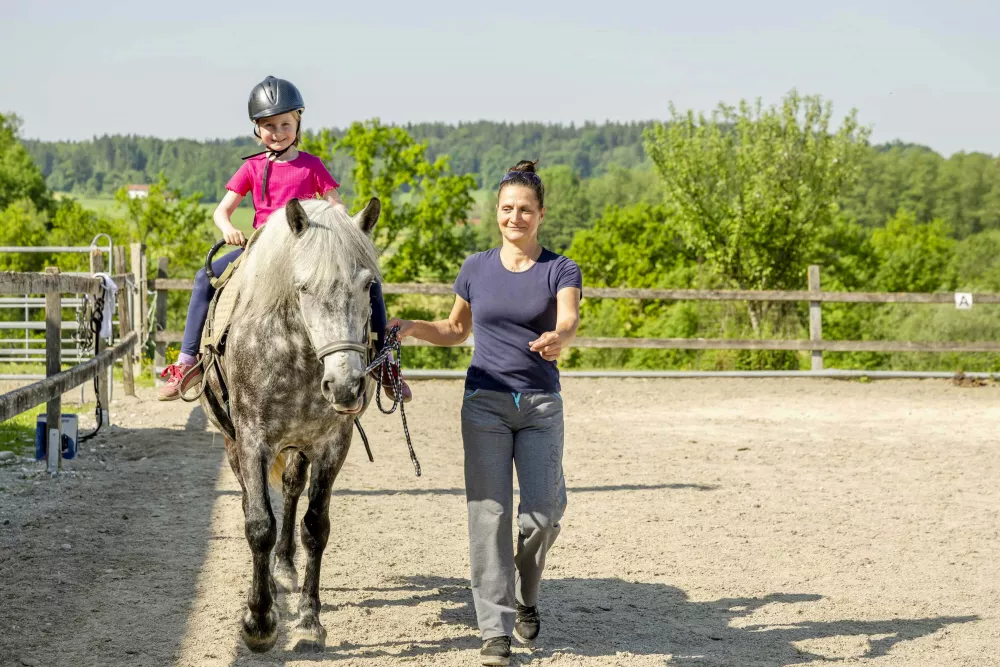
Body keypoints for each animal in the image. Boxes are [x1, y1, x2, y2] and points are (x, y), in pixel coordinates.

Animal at [199, 197, 382, 653]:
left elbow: (315, 527)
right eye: (302, 288)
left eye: (368, 286)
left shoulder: (333, 444)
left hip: (299, 447)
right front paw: (260, 621)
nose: (345, 385)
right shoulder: (252, 441)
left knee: (293, 489)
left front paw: (309, 622)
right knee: (252, 501)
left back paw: (283, 568)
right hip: (233, 444)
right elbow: (259, 524)